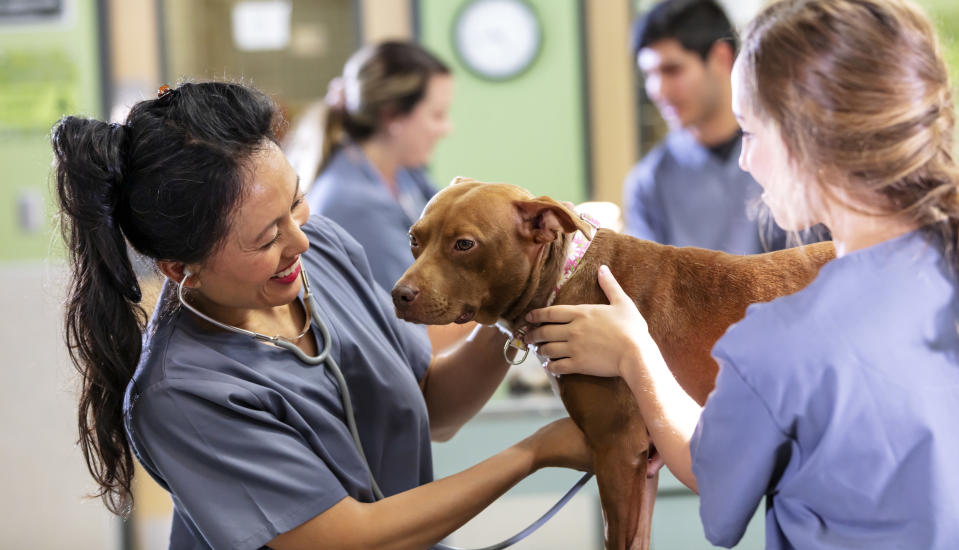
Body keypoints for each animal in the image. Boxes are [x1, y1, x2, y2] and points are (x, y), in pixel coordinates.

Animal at [390, 180, 832, 550]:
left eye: (464, 245)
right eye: (414, 239)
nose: (399, 294)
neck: (565, 281)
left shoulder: (618, 450)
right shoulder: (643, 464)